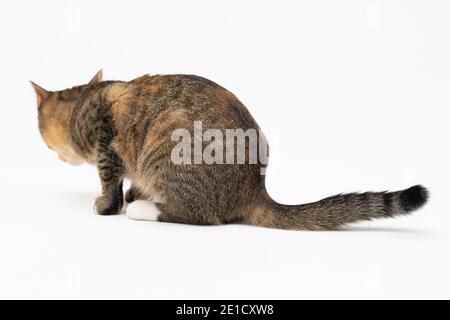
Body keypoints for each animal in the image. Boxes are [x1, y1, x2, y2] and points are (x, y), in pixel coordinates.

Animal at [31, 70, 428, 230]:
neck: (83, 99)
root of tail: (255, 188)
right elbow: (133, 182)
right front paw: (134, 192)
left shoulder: (106, 143)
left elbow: (110, 185)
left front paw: (109, 204)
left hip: (169, 137)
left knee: (199, 215)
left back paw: (144, 210)